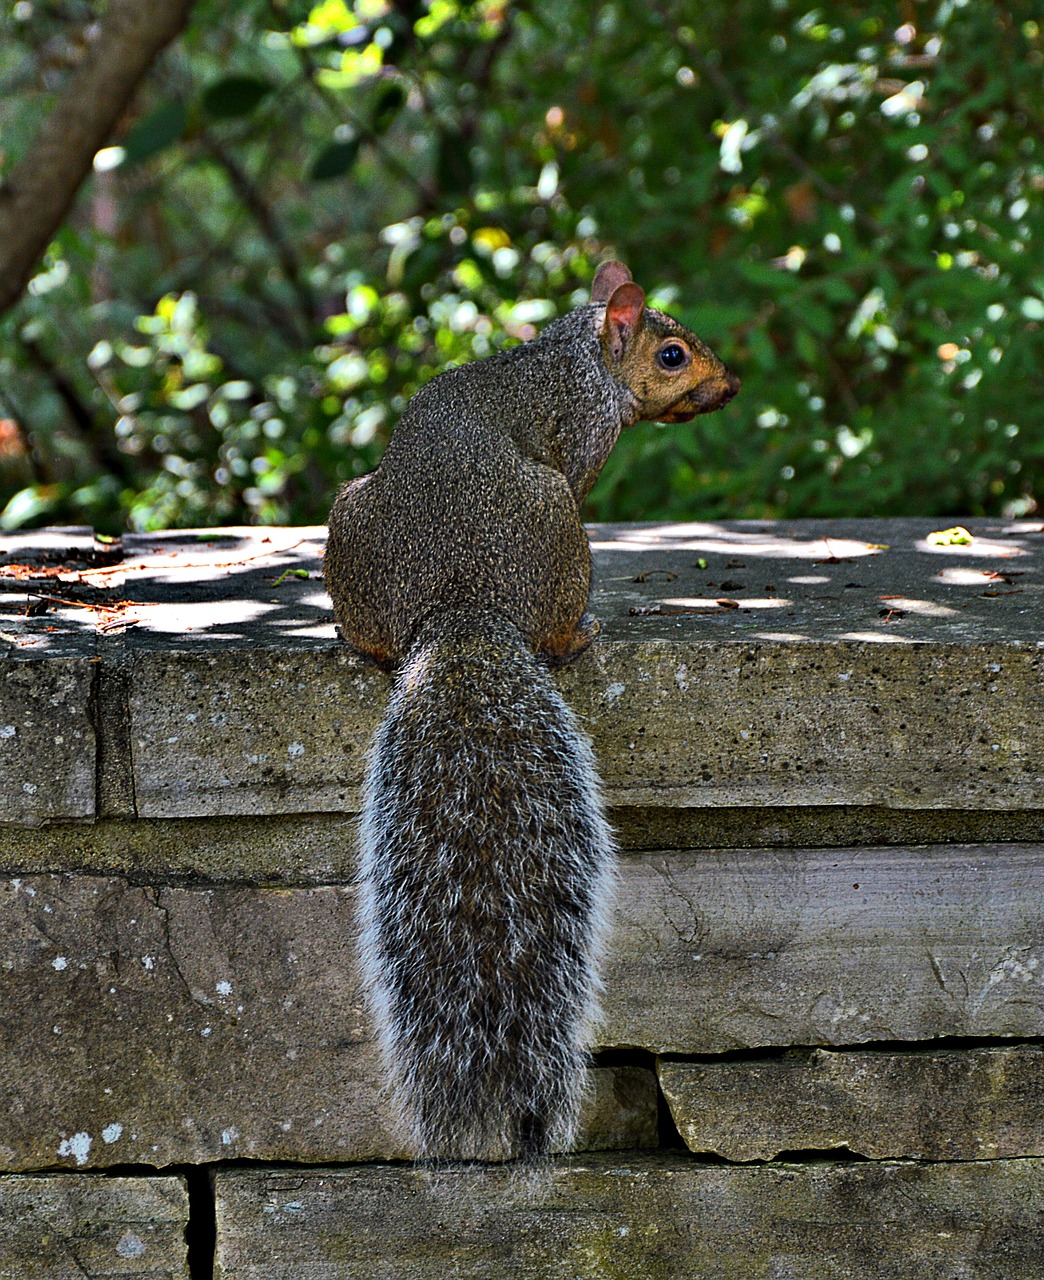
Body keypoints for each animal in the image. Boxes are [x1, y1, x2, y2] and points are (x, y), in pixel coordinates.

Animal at [322, 259, 736, 1162]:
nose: (728, 387)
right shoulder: (581, 438)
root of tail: (462, 605)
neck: (574, 353)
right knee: (555, 622)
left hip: (349, 523)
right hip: (558, 522)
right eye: (673, 355)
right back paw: (578, 633)